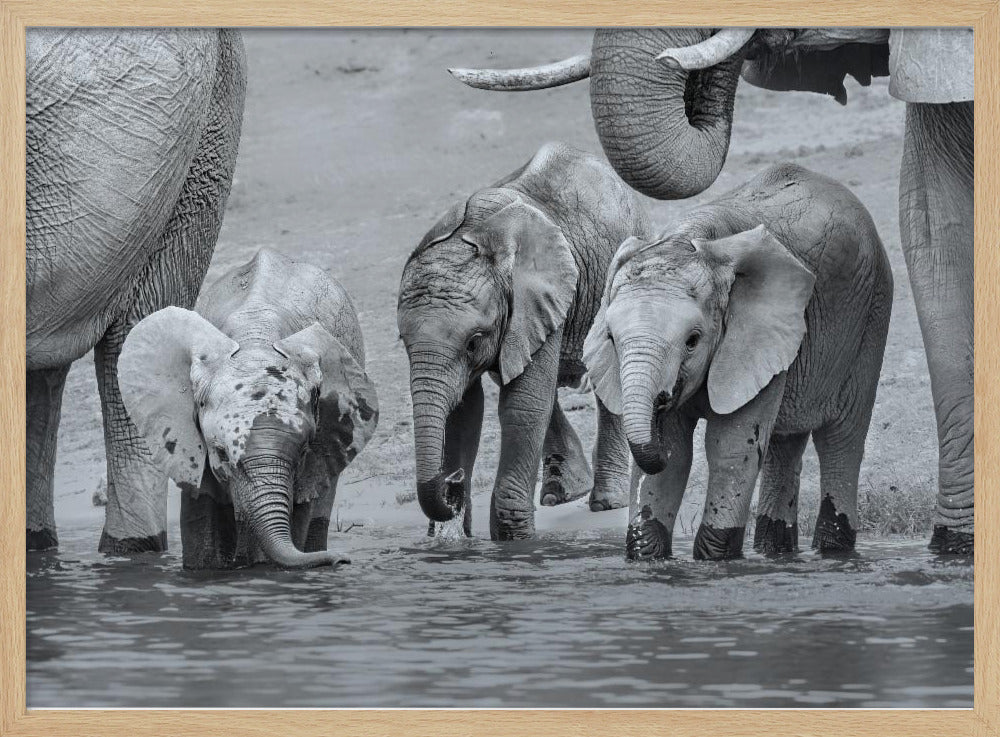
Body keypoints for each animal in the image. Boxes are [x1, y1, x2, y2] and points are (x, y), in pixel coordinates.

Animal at [397, 142, 650, 540]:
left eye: (474, 341)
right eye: (403, 342)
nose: (452, 482)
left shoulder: (538, 298)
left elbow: (522, 406)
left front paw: (514, 540)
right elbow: (465, 410)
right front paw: (455, 535)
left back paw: (606, 502)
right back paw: (562, 493)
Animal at [584, 164, 892, 560]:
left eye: (692, 341)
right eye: (610, 339)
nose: (661, 401)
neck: (690, 241)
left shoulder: (756, 333)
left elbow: (730, 447)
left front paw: (716, 560)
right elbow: (676, 454)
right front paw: (649, 557)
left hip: (872, 311)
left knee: (841, 439)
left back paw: (833, 553)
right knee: (784, 443)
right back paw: (775, 553)